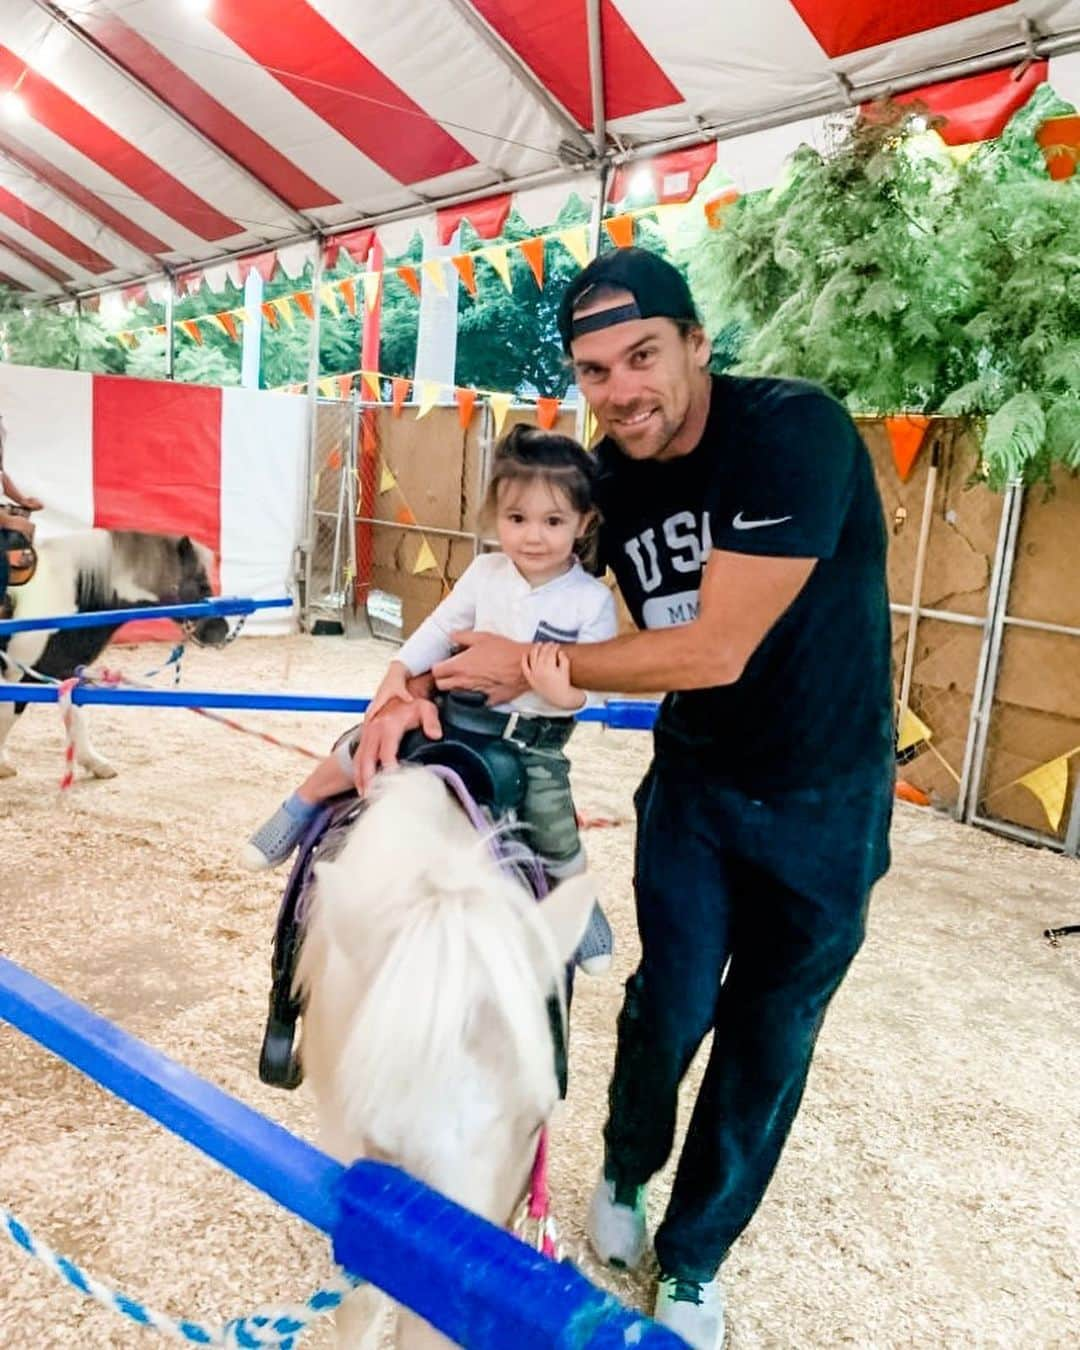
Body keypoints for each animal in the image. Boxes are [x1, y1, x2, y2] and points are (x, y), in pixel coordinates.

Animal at [0, 526, 228, 783]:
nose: (221, 630)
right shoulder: (21, 672)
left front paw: (96, 763)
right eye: (202, 584)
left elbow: (76, 715)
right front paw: (2, 764)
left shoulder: (62, 669)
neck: (64, 594)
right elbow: (9, 712)